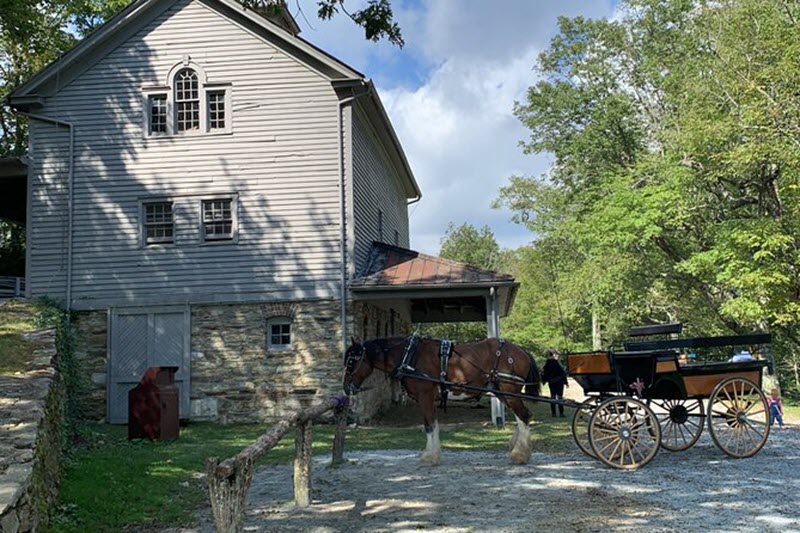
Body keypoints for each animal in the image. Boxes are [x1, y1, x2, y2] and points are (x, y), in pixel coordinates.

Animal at [340, 336, 540, 466]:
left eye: (351, 361)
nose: (346, 387)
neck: (409, 355)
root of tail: (521, 351)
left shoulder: (425, 396)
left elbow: (429, 425)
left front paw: (430, 457)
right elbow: (433, 424)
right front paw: (432, 454)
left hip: (509, 391)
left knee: (524, 416)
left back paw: (520, 455)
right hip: (501, 393)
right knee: (523, 416)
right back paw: (519, 448)